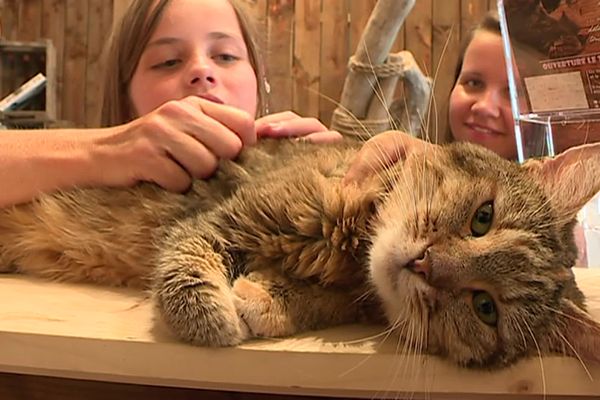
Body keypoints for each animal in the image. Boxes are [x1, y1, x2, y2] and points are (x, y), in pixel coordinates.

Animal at [1, 138, 600, 368]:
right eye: (483, 218)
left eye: (485, 308)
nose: (424, 263)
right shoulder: (218, 220)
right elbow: (184, 267)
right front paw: (215, 319)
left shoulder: (353, 299)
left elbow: (314, 305)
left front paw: (264, 300)